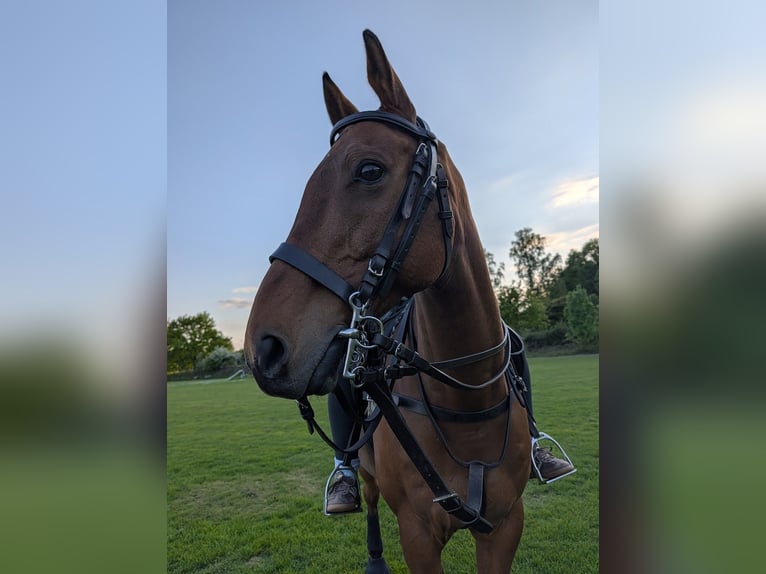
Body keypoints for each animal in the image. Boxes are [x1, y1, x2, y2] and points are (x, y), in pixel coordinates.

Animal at [245, 30, 531, 573]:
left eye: (369, 170)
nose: (262, 349)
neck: (467, 401)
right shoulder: (417, 534)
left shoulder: (505, 528)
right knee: (370, 499)